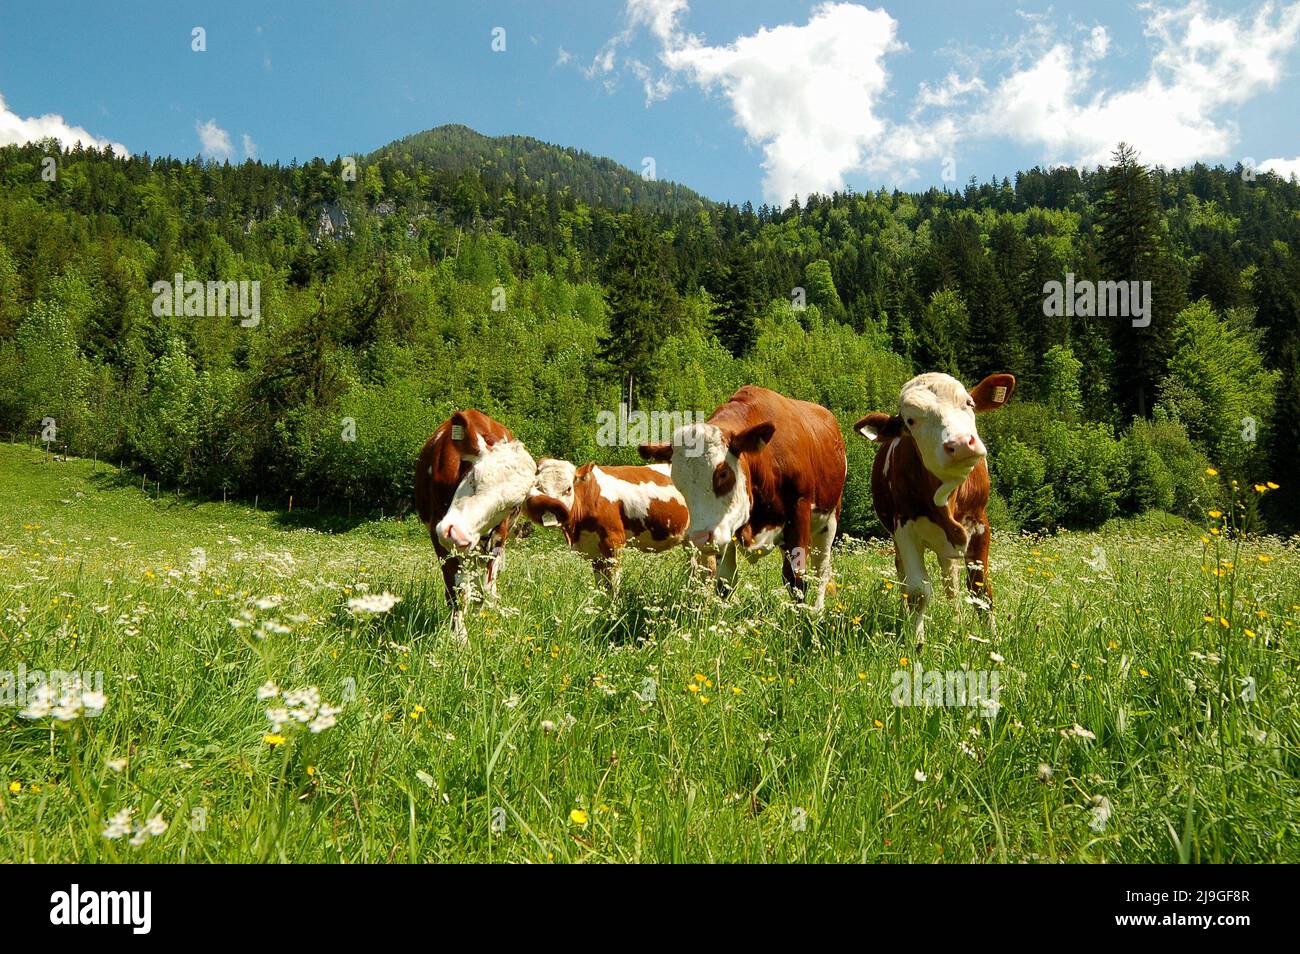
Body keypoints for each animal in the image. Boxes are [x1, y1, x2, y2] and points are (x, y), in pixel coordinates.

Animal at [414, 410, 536, 640]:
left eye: (512, 506)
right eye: (473, 476)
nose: (458, 535)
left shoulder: (497, 538)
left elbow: (484, 587)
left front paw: (481, 621)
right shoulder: (438, 533)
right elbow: (457, 591)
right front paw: (460, 637)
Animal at [524, 458, 690, 589]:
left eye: (568, 489)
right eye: (539, 487)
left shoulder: (613, 542)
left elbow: (613, 585)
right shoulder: (594, 551)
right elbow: (600, 584)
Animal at [638, 385, 846, 611]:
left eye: (723, 473)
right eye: (677, 481)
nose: (700, 538)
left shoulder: (799, 510)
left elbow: (796, 578)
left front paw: (798, 617)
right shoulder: (728, 528)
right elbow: (725, 581)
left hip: (829, 521)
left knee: (821, 570)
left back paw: (816, 610)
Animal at [853, 372, 1015, 641]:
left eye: (969, 403)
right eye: (910, 421)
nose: (960, 443)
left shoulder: (980, 524)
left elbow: (980, 588)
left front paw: (993, 639)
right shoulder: (904, 528)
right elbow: (918, 591)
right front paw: (916, 642)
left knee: (951, 580)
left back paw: (956, 622)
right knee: (903, 576)